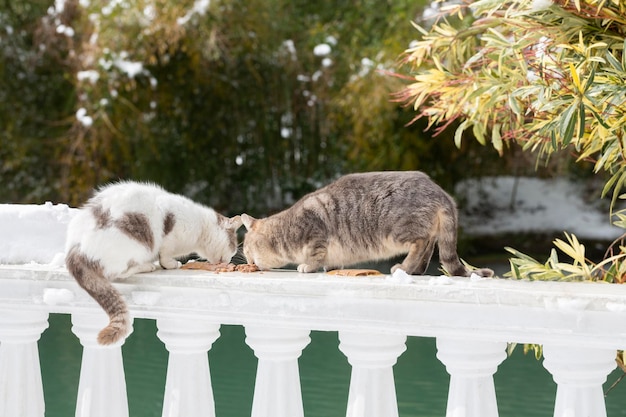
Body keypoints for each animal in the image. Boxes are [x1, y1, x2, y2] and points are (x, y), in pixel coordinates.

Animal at [63, 181, 239, 344]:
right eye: (233, 247)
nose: (229, 260)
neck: (201, 228)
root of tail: (75, 250)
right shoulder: (170, 237)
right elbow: (165, 255)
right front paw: (172, 264)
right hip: (135, 247)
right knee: (121, 272)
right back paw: (147, 266)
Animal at [241, 171, 490, 278]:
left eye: (246, 249)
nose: (248, 261)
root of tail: (440, 192)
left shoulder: (315, 237)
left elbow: (313, 258)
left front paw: (308, 266)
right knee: (429, 245)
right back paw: (417, 269)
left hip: (399, 230)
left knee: (420, 244)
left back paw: (405, 267)